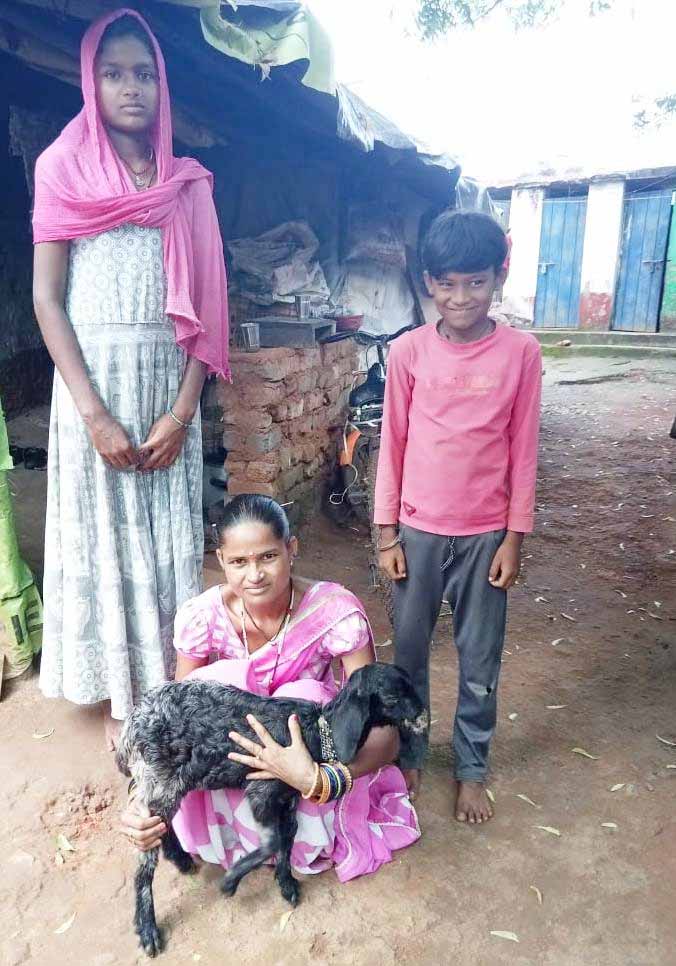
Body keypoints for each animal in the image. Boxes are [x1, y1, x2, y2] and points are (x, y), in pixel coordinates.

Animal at [116, 662, 428, 957]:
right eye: (392, 696)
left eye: (411, 684)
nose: (423, 716)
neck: (316, 730)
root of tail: (133, 722)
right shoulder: (262, 789)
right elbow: (271, 843)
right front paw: (231, 881)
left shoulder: (289, 796)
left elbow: (287, 839)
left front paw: (286, 883)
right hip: (161, 779)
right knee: (144, 863)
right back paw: (147, 928)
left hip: (169, 783)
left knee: (160, 827)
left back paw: (180, 860)